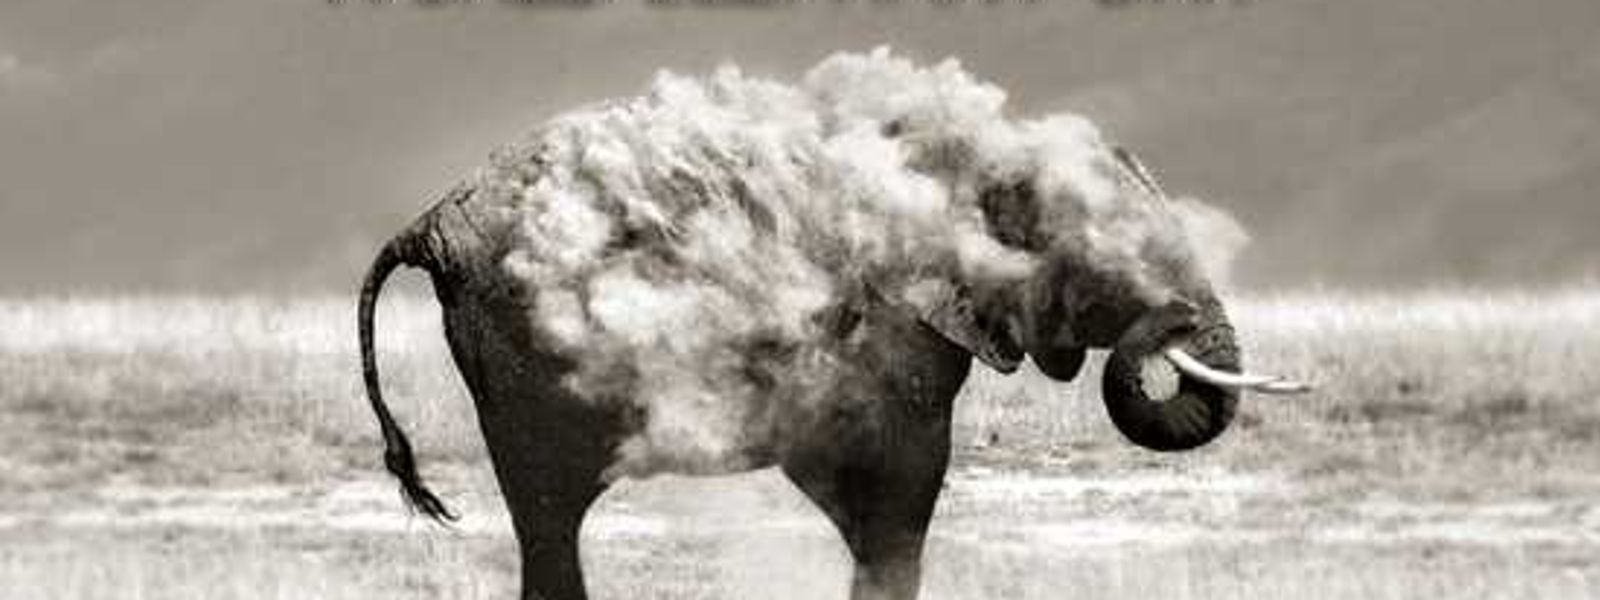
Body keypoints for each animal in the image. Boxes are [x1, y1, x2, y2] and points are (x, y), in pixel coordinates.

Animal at [356, 53, 1307, 600]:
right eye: (1114, 256)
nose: (1169, 327)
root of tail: (431, 221)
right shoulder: (891, 337)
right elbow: (904, 487)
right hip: (523, 348)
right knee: (551, 513)